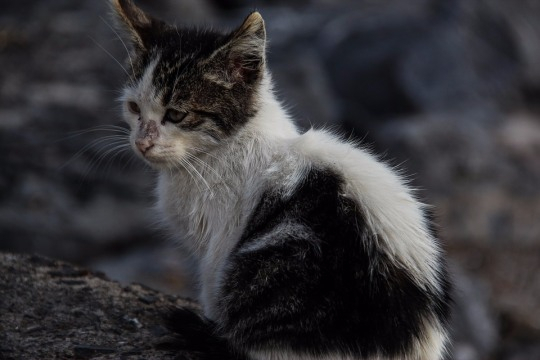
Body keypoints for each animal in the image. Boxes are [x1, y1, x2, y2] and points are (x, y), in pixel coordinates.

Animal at [109, 1, 452, 358]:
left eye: (176, 114)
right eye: (134, 108)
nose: (142, 143)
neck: (227, 147)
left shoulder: (219, 242)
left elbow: (211, 281)